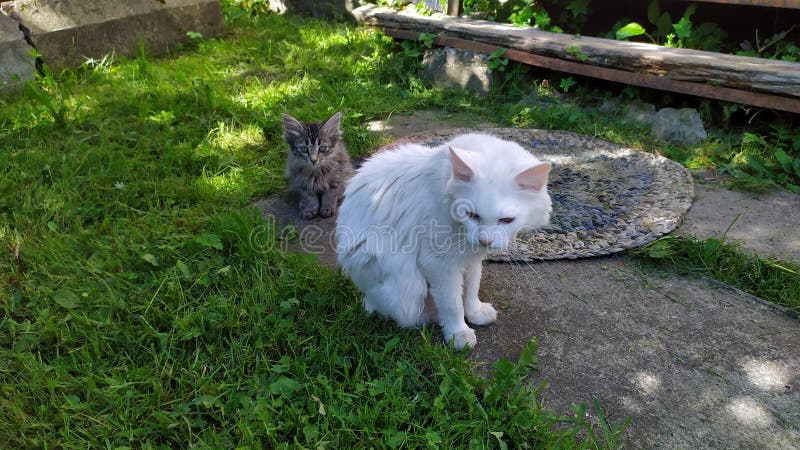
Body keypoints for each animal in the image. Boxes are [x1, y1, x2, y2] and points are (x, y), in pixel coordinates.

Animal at [334, 132, 552, 350]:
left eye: (506, 220)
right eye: (471, 215)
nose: (485, 241)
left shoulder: (471, 260)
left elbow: (471, 289)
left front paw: (475, 313)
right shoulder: (440, 264)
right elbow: (452, 303)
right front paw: (458, 333)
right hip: (409, 288)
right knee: (384, 308)